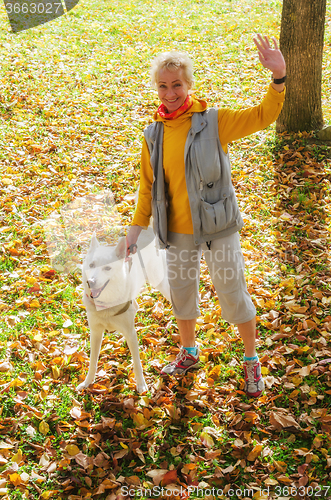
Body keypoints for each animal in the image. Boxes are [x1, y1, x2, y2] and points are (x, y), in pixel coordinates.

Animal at [77, 228, 171, 394]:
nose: (91, 282)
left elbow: (137, 362)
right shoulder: (95, 332)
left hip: (160, 283)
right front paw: (88, 382)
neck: (106, 304)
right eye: (92, 264)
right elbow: (93, 361)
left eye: (108, 268)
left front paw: (141, 385)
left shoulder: (130, 333)